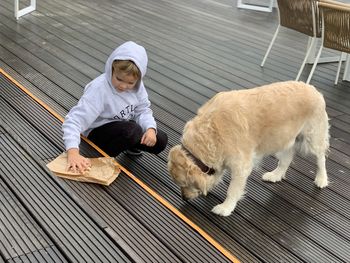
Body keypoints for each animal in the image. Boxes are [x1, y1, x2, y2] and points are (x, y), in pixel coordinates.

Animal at [168, 81, 330, 218]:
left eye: (185, 184)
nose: (183, 197)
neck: (210, 132)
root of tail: (314, 89)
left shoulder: (242, 165)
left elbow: (232, 190)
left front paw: (225, 208)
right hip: (285, 139)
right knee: (287, 158)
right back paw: (275, 175)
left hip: (313, 137)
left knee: (321, 159)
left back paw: (321, 179)